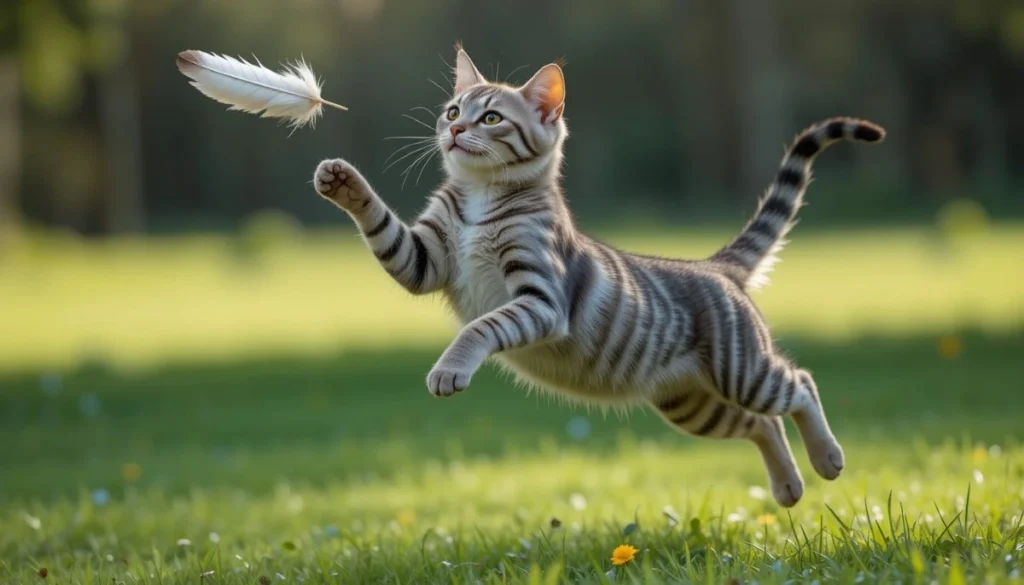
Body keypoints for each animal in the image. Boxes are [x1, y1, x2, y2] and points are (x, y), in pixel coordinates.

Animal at [311, 46, 880, 508]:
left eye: (490, 117)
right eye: (453, 111)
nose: (453, 130)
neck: (478, 196)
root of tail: (714, 265)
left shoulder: (542, 299)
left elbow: (479, 327)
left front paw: (449, 369)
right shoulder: (424, 258)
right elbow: (384, 228)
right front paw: (343, 183)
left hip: (742, 371)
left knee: (800, 386)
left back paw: (828, 458)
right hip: (692, 404)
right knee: (763, 422)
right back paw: (788, 486)